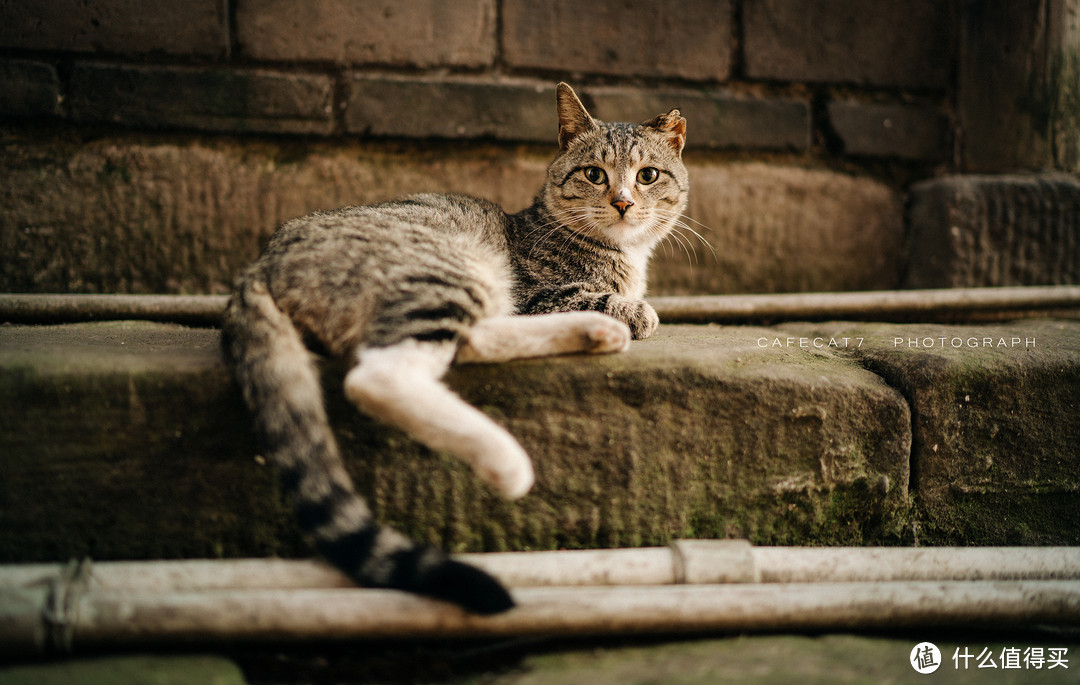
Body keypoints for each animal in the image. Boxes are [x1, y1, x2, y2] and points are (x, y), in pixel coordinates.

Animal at [222, 82, 686, 609]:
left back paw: (593, 332)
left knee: (468, 340)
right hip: (447, 272)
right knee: (379, 376)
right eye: (594, 174)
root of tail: (260, 263)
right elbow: (621, 306)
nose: (624, 202)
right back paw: (507, 463)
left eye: (647, 175)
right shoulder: (540, 294)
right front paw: (635, 311)